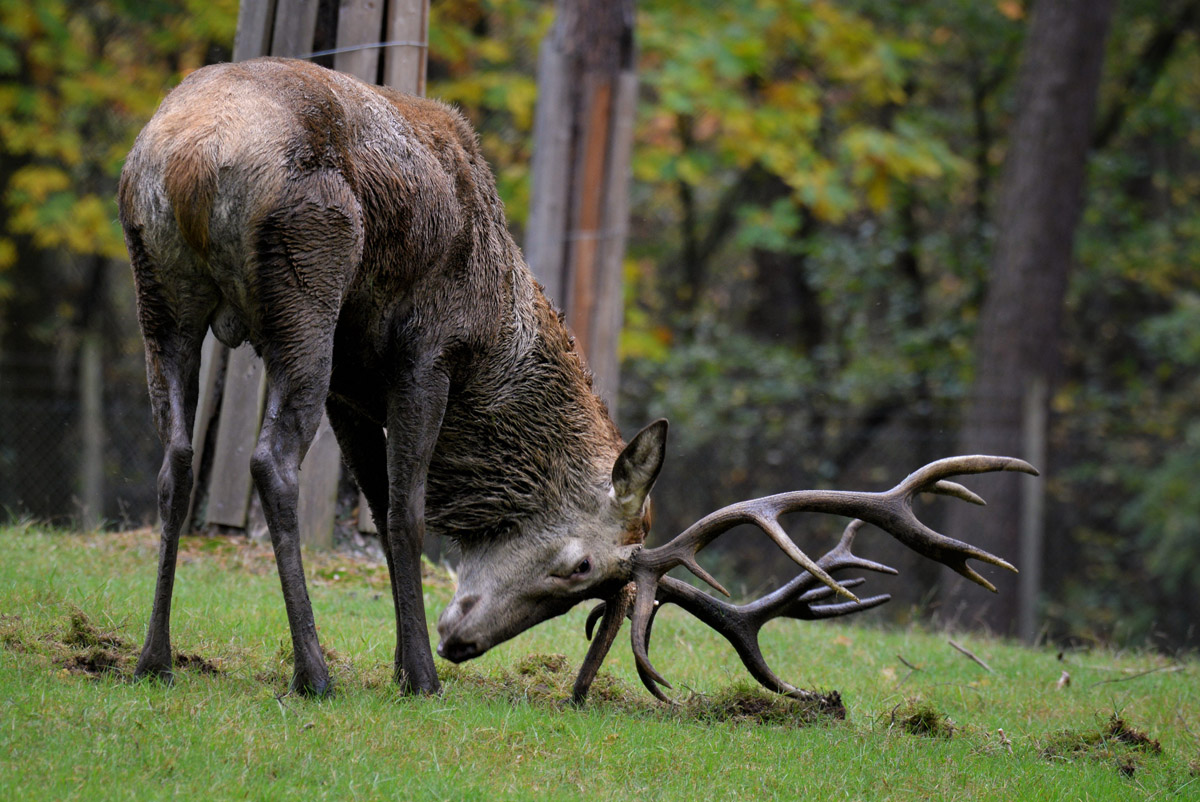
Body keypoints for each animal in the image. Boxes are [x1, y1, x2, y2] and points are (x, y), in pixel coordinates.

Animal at [119, 57, 1035, 702]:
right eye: (579, 568)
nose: (459, 643)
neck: (500, 326)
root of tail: (187, 159)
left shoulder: (356, 382)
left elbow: (378, 508)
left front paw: (407, 661)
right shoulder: (422, 351)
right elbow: (407, 512)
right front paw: (418, 677)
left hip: (161, 297)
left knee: (174, 458)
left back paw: (154, 658)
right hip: (308, 280)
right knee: (268, 459)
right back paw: (313, 673)